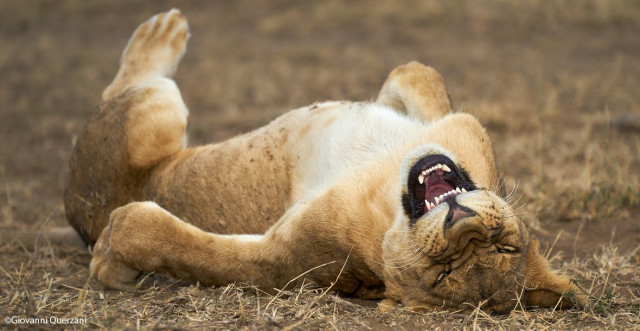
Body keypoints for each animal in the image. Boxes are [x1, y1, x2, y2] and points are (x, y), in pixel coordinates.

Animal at [65, 8, 584, 314]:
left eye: (443, 274)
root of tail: (76, 212)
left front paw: (110, 257)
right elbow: (419, 72)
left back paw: (161, 33)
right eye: (507, 247)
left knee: (130, 89)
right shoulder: (450, 125)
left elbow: (184, 247)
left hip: (153, 115)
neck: (386, 189)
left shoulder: (284, 259)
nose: (465, 225)